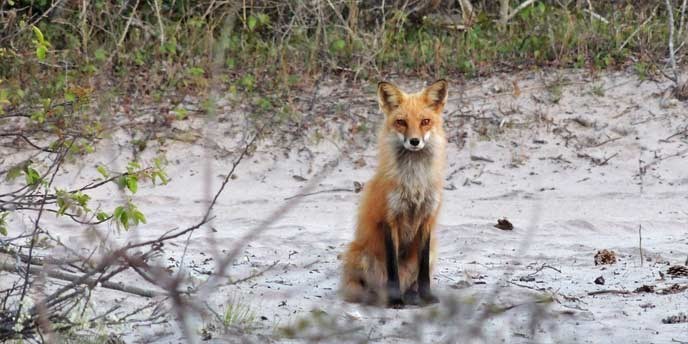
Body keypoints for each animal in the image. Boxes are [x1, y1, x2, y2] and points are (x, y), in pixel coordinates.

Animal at [342, 80, 448, 306]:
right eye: (401, 122)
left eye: (425, 121)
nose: (415, 141)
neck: (414, 182)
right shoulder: (389, 219)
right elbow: (393, 269)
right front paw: (395, 300)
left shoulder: (427, 219)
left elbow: (423, 271)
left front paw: (426, 297)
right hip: (360, 255)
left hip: (433, 248)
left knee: (412, 280)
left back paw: (412, 295)